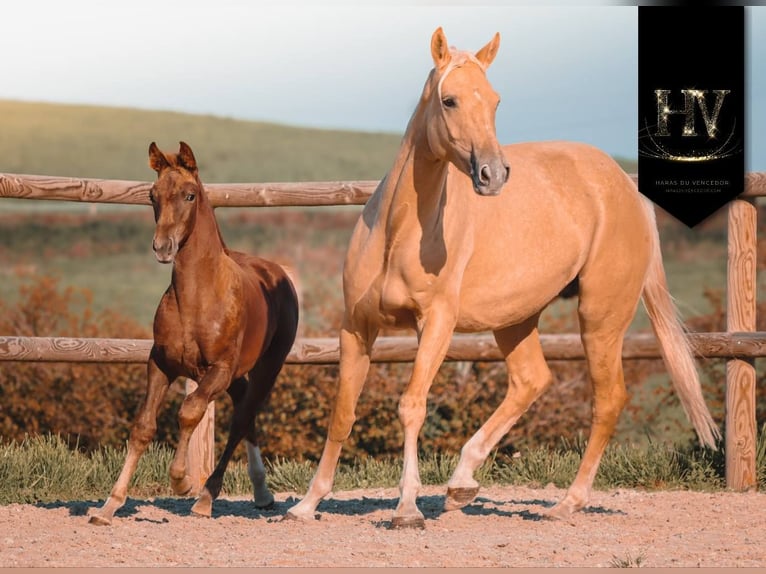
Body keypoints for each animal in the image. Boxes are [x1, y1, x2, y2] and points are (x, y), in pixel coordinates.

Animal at [89, 141, 299, 525]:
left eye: (189, 195)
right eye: (152, 195)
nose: (163, 247)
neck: (197, 298)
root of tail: (278, 273)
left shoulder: (218, 369)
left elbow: (189, 412)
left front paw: (182, 481)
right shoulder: (160, 364)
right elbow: (143, 427)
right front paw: (109, 506)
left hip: (267, 367)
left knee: (242, 418)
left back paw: (206, 498)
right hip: (236, 376)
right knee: (246, 412)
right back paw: (261, 493)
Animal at [285, 28, 720, 528]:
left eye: (495, 101)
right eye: (449, 100)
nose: (493, 174)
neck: (398, 233)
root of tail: (621, 184)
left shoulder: (436, 324)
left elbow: (412, 405)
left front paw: (407, 508)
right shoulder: (356, 328)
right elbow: (343, 412)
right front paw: (306, 504)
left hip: (600, 317)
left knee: (608, 399)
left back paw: (566, 503)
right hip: (516, 319)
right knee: (532, 380)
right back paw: (461, 484)